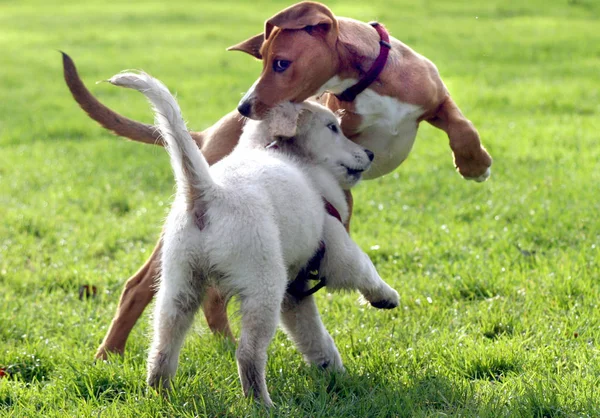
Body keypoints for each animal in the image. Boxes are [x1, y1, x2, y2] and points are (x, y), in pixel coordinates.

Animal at [63, 0, 490, 360]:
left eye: (281, 64)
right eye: (263, 62)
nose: (244, 107)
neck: (366, 81)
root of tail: (206, 135)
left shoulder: (435, 98)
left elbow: (460, 124)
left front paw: (475, 163)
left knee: (213, 297)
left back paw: (224, 344)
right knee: (138, 287)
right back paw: (108, 354)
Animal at [109, 71, 398, 404]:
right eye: (332, 127)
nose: (370, 154)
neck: (294, 159)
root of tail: (208, 192)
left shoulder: (294, 293)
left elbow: (312, 333)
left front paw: (333, 369)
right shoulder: (334, 243)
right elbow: (363, 268)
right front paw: (387, 297)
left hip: (180, 283)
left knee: (163, 346)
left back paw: (160, 394)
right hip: (263, 283)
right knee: (248, 353)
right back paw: (262, 403)